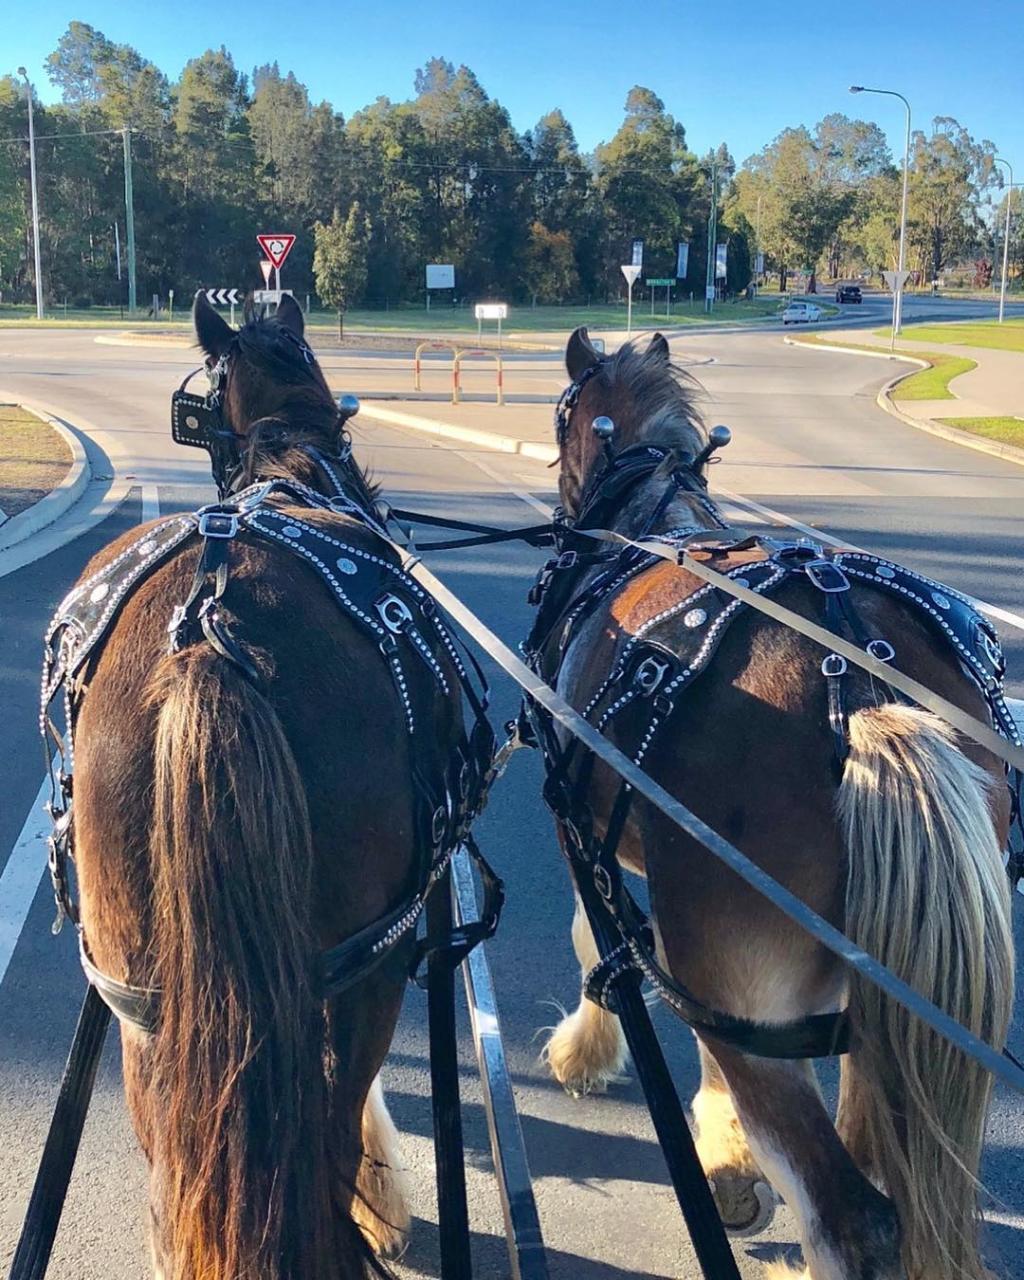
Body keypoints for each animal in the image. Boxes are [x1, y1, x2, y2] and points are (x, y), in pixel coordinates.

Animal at [44, 293, 480, 1279]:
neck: (289, 471)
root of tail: (208, 634)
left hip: (146, 1009)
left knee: (178, 1165)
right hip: (367, 968)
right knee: (325, 1130)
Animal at [533, 328, 1015, 1280]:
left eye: (562, 414)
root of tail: (855, 689)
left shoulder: (586, 840)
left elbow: (591, 941)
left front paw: (594, 1061)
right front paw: (725, 1152)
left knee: (849, 1216)